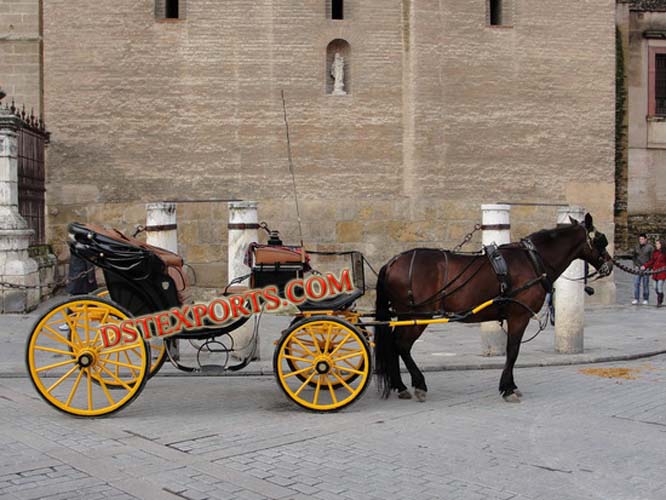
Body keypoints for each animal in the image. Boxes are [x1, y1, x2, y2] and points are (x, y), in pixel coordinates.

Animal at [370, 214, 608, 402]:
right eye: (601, 241)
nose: (609, 264)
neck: (532, 260)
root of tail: (392, 262)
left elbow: (512, 351)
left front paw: (509, 385)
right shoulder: (519, 316)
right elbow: (513, 351)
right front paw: (508, 388)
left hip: (406, 315)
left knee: (394, 344)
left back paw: (400, 385)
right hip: (416, 315)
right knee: (401, 345)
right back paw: (418, 384)